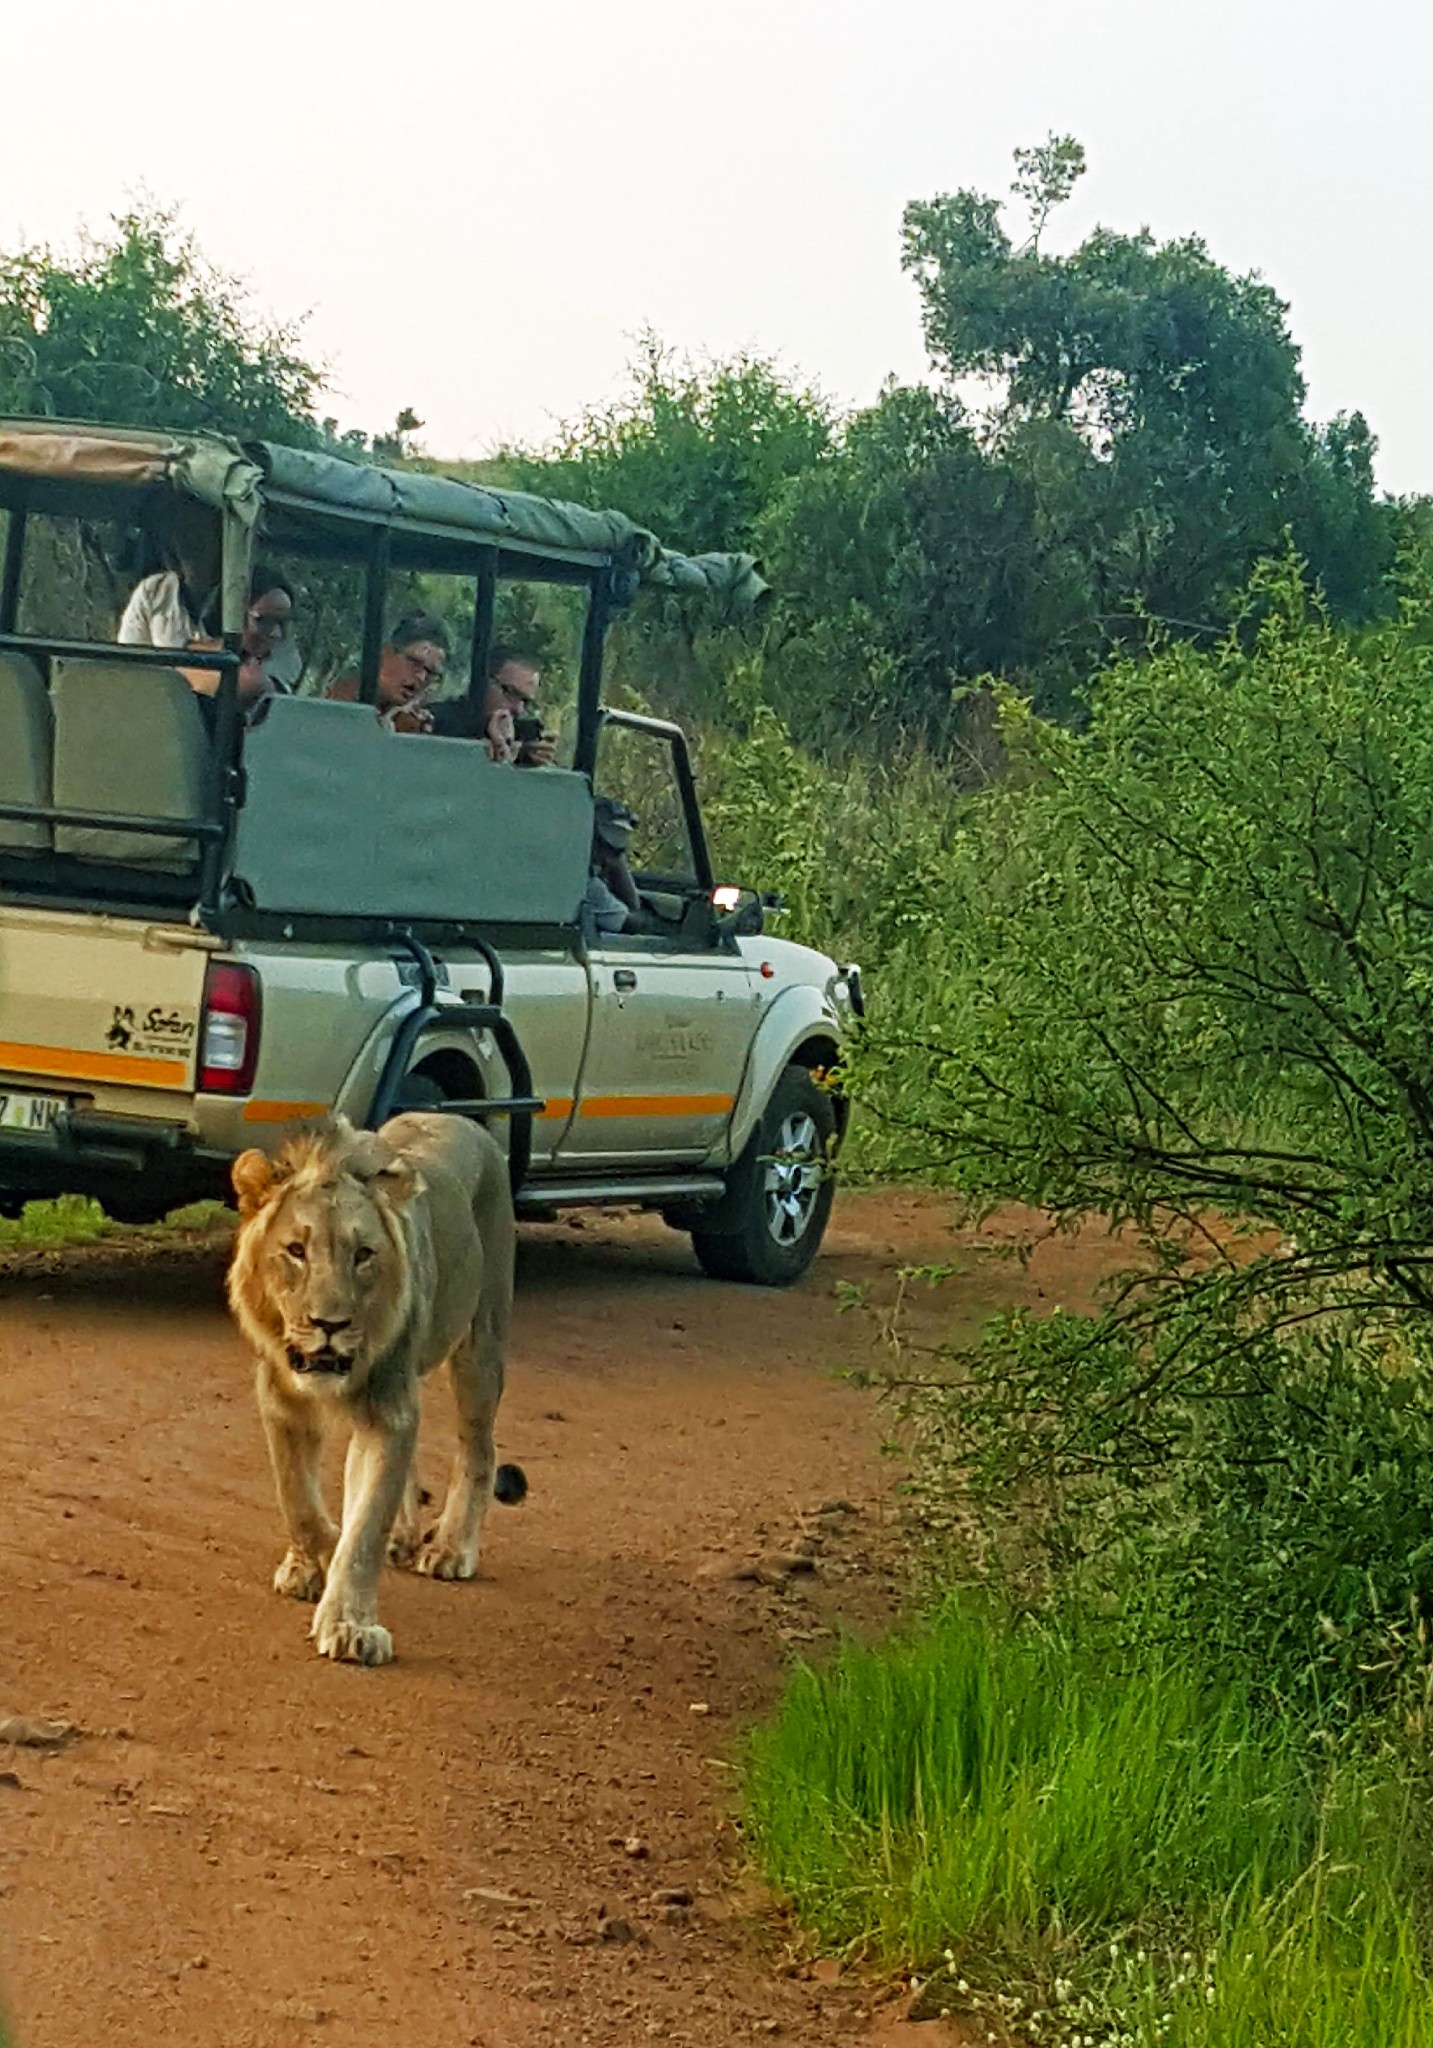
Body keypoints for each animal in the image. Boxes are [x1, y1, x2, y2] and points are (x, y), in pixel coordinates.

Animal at [228, 1105, 528, 1662]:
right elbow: (296, 1498)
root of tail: (465, 1120)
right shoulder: (280, 1397)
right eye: (296, 1250)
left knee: (479, 1450)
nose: (329, 1324)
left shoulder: (387, 1410)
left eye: (363, 1254)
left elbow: (364, 1528)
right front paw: (311, 1559)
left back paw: (450, 1547)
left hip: (480, 1346)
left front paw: (350, 1624)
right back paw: (402, 1536)